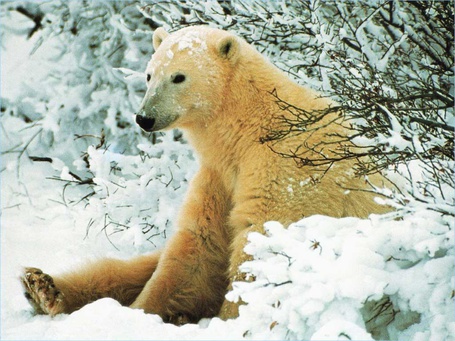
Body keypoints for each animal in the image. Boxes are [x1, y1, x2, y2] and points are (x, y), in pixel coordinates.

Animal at [21, 25, 390, 322]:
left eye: (179, 76)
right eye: (149, 74)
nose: (144, 118)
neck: (250, 126)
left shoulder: (287, 170)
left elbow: (260, 246)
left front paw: (229, 321)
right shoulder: (219, 174)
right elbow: (198, 247)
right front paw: (139, 314)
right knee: (130, 267)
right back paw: (43, 287)